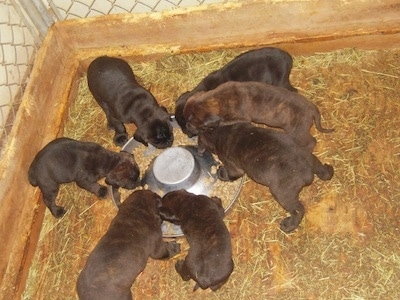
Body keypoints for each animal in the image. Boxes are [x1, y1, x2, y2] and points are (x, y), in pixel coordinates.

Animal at [185, 81, 334, 151]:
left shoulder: (242, 118)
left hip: (297, 131)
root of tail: (311, 107)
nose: (187, 130)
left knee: (311, 141)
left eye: (194, 124)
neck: (215, 99)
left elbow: (223, 122)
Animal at [198, 123, 334, 233]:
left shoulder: (234, 168)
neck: (219, 134)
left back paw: (289, 225)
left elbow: (229, 175)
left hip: (282, 193)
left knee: (298, 210)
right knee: (323, 171)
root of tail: (308, 171)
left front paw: (221, 172)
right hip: (312, 159)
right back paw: (328, 169)